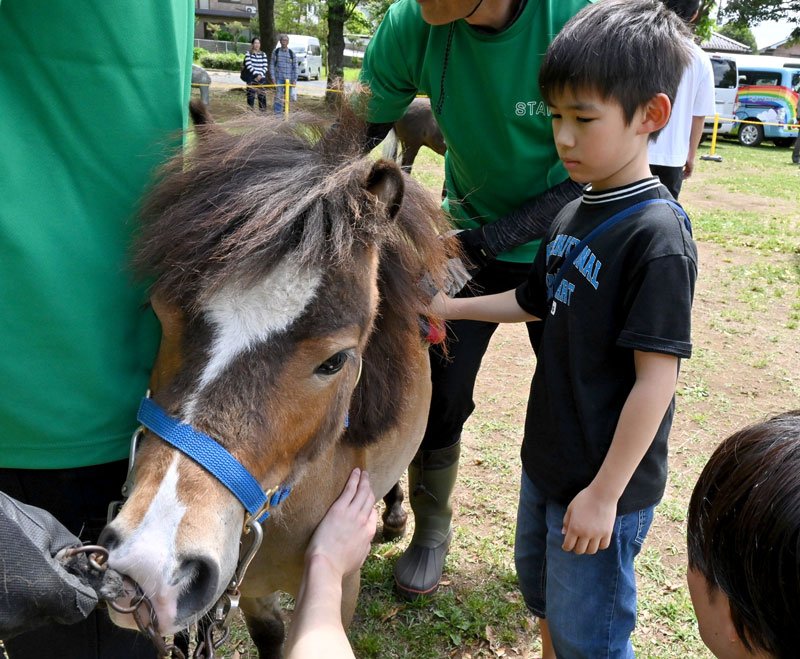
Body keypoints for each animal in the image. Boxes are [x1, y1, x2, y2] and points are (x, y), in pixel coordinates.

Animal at [98, 109, 452, 658]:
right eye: (159, 313)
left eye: (335, 361)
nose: (148, 568)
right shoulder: (249, 589)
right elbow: (268, 635)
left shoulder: (338, 590)